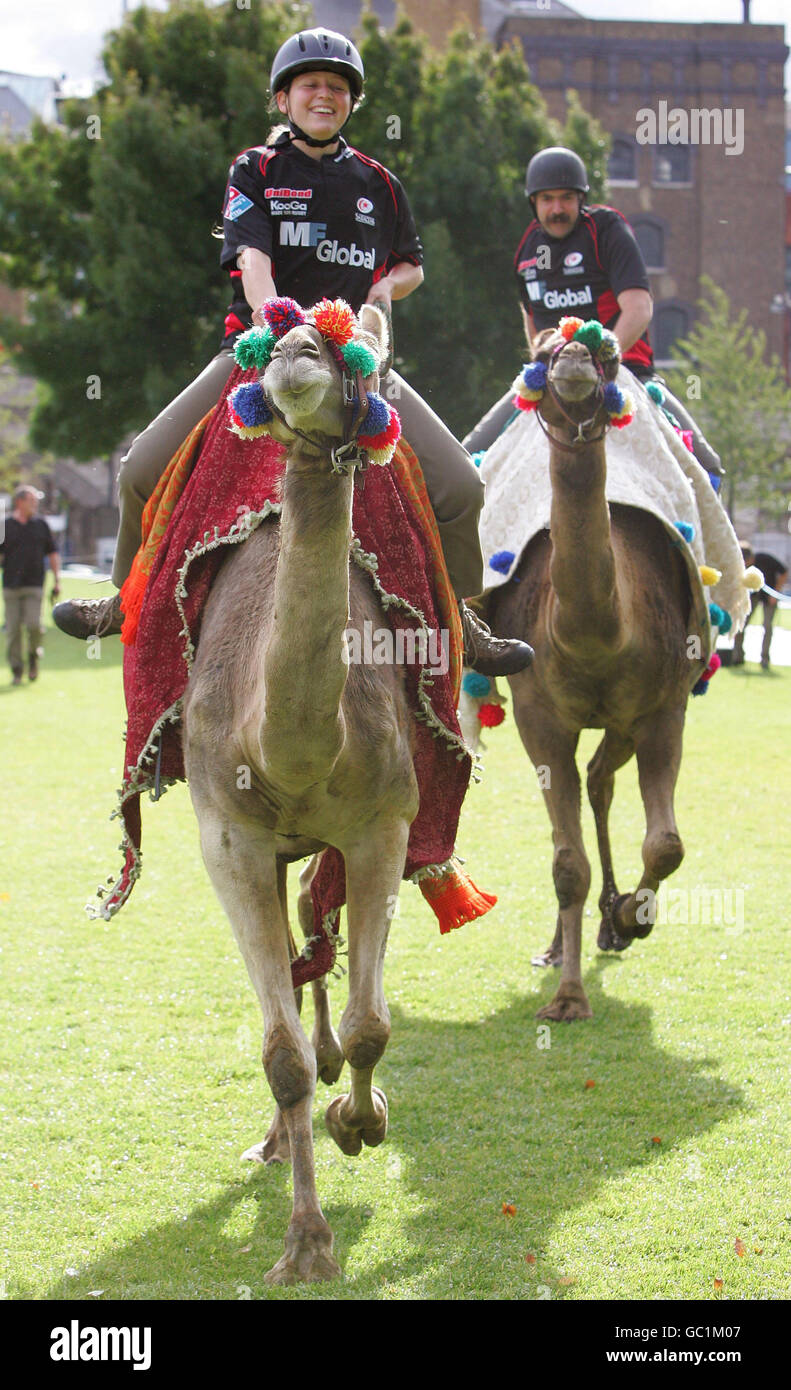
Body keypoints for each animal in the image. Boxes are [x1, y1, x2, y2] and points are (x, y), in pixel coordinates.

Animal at [488, 326, 704, 1022]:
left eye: (608, 355)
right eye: (543, 354)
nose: (577, 358)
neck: (596, 636)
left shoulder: (663, 708)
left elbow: (666, 844)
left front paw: (635, 915)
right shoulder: (539, 715)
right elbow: (566, 864)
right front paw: (567, 998)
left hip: (628, 717)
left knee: (602, 779)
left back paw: (614, 920)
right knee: (584, 799)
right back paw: (565, 944)